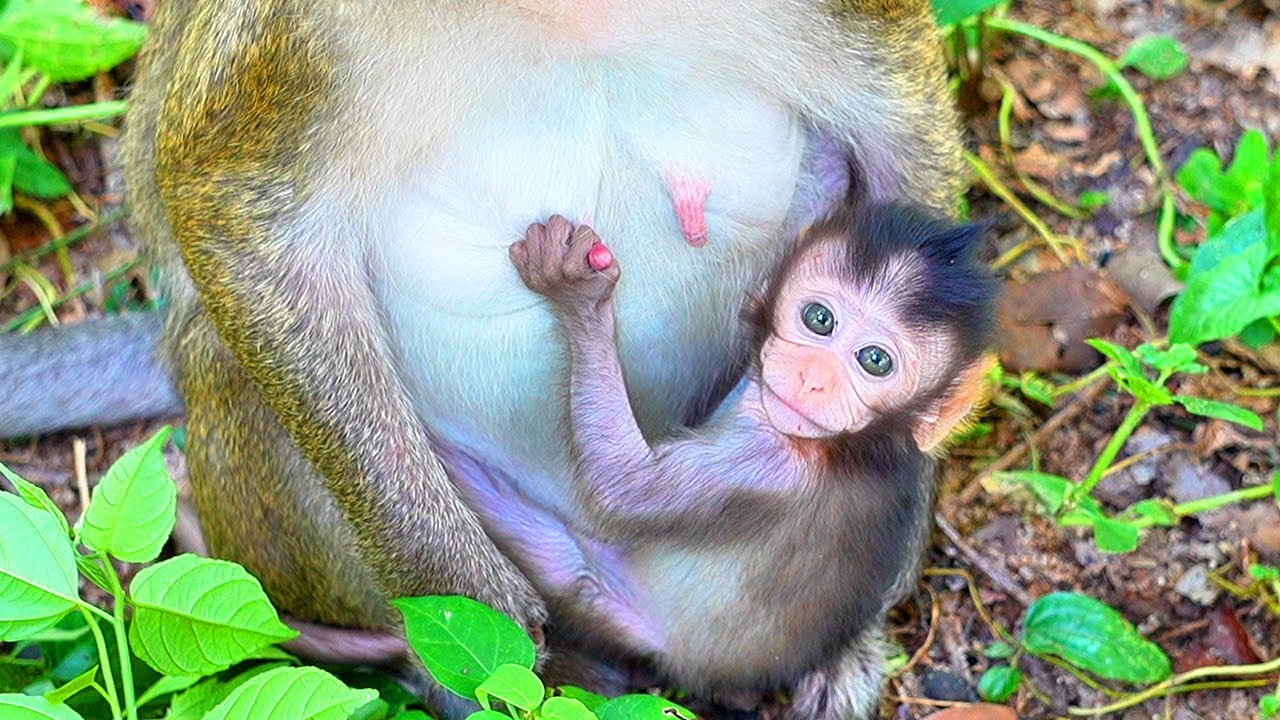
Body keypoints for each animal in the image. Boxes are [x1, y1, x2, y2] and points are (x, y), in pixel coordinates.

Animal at [447, 206, 994, 719]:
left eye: (875, 361)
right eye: (819, 319)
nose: (813, 377)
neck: (854, 446)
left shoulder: (765, 462)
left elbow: (621, 487)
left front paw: (581, 300)